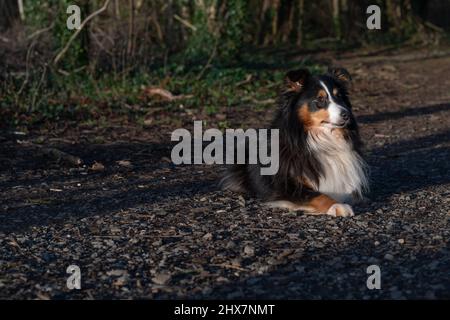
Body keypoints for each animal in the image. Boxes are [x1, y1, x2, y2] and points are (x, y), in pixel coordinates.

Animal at [221, 67, 370, 218]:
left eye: (339, 96)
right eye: (320, 99)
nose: (347, 114)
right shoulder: (284, 185)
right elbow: (316, 195)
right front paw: (337, 206)